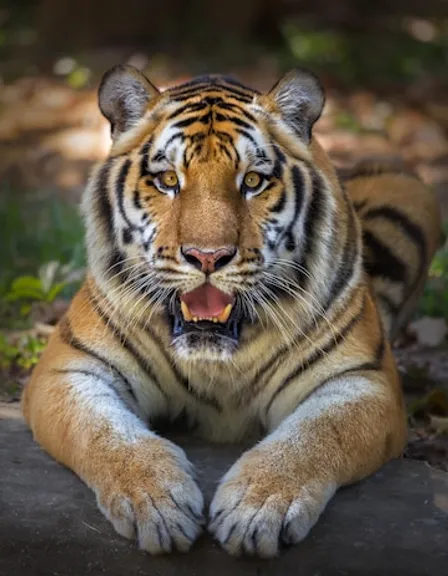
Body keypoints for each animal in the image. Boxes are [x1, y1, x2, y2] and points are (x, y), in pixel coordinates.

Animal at [21, 64, 440, 560]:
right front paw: (158, 503)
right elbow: (105, 434)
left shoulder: (363, 380)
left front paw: (256, 509)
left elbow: (316, 436)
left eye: (253, 182)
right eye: (168, 180)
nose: (208, 257)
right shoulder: (69, 370)